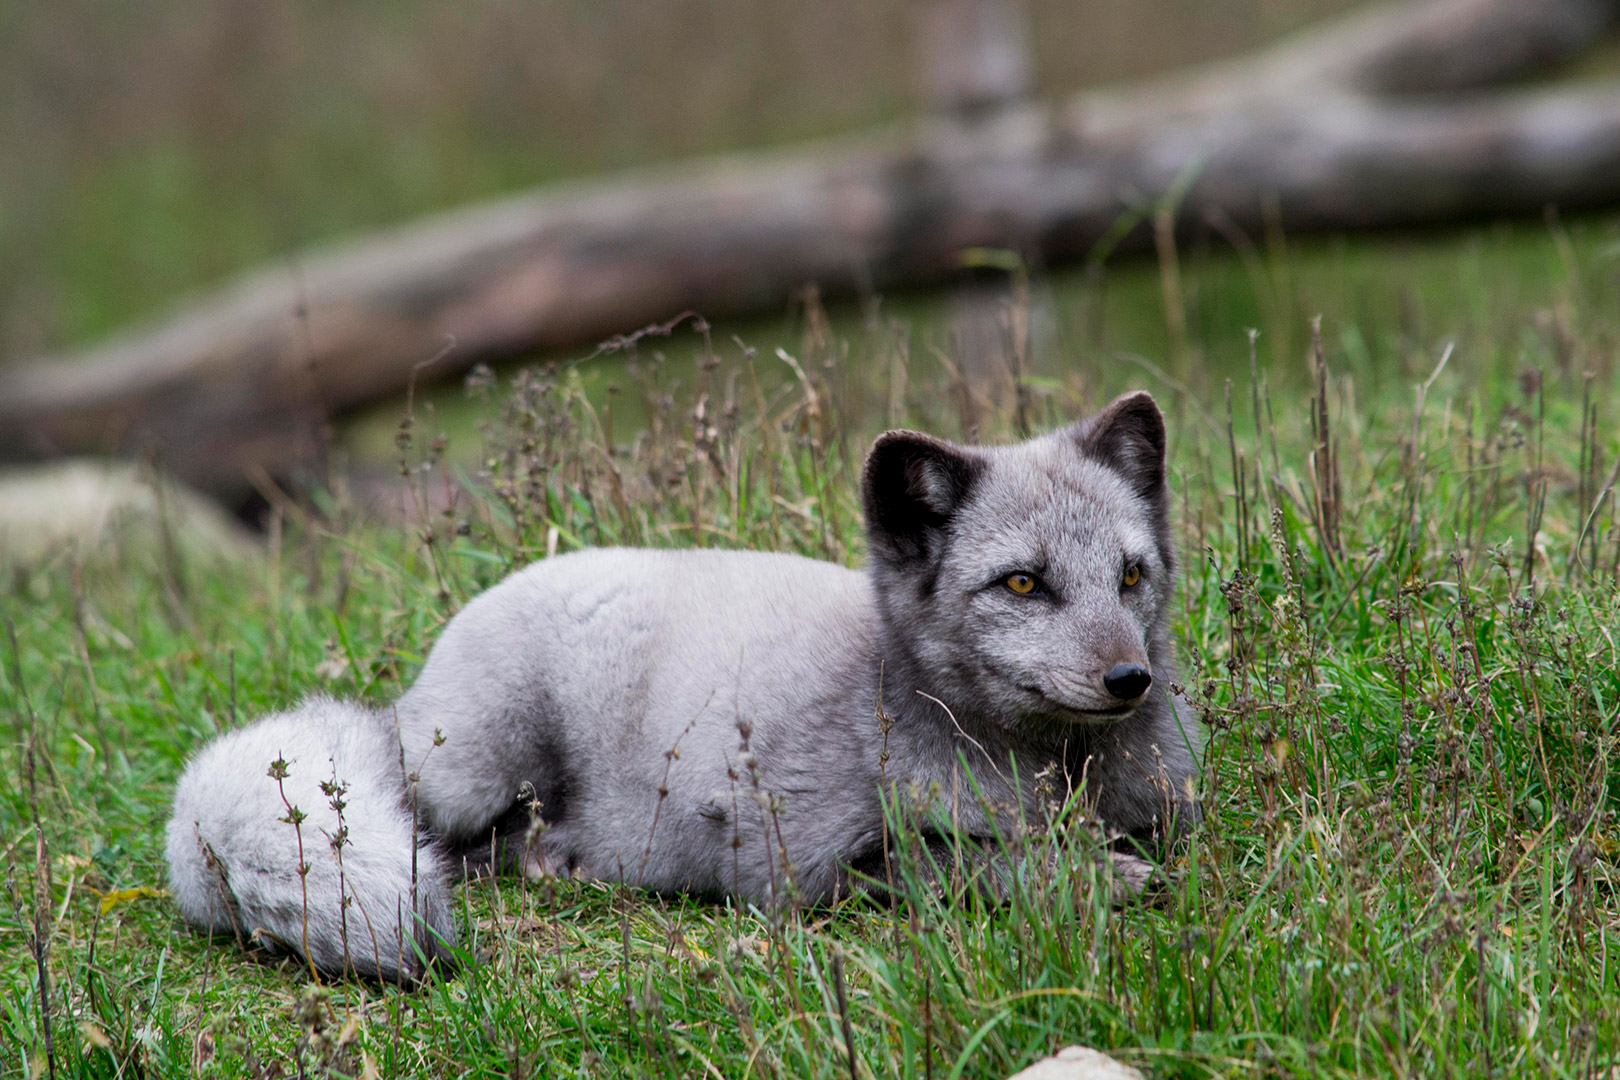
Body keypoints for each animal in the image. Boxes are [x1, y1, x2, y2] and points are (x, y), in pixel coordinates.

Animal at [167, 393, 1205, 984]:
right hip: (474, 769)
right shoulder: (811, 866)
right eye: (1023, 584)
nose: (1129, 678)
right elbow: (968, 864)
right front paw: (1093, 876)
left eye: (1129, 575)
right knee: (439, 834)